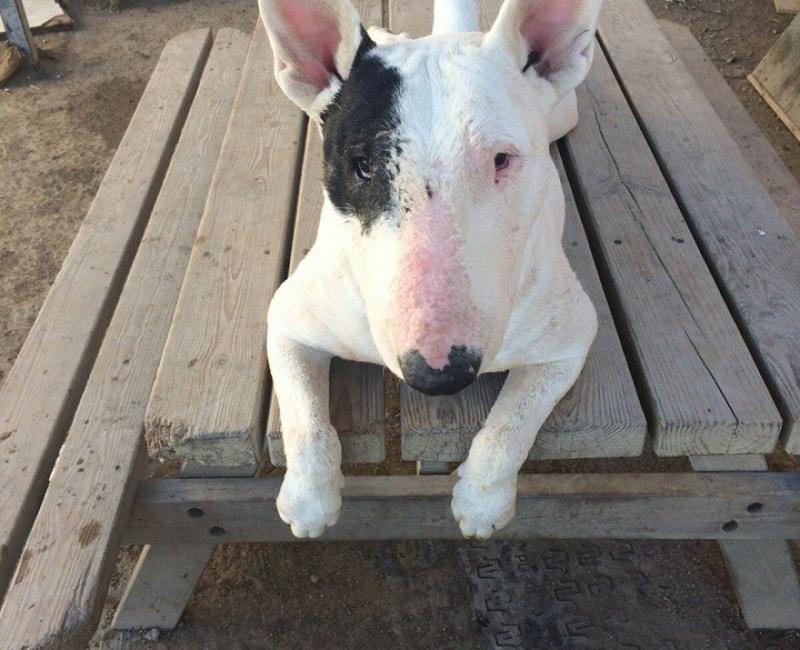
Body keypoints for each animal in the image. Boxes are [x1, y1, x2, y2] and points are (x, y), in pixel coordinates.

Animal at [260, 0, 600, 539]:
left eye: (501, 160)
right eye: (362, 165)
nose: (439, 373)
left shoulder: (569, 339)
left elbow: (512, 424)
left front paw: (482, 500)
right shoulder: (289, 319)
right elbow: (305, 420)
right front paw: (309, 499)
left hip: (563, 112)